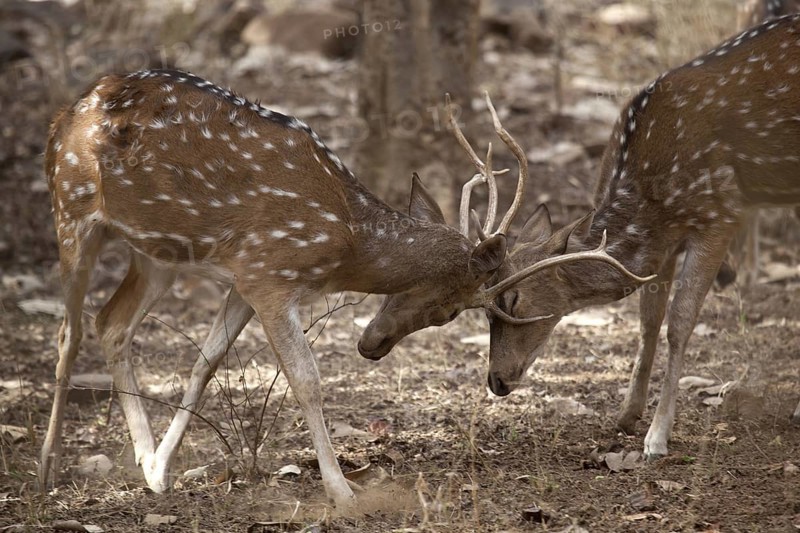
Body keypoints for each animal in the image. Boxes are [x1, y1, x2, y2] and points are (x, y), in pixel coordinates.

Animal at [39, 68, 515, 509]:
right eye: (450, 312)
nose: (372, 347)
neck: (347, 239)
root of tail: (63, 116)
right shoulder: (270, 274)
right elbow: (306, 380)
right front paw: (342, 492)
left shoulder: (245, 277)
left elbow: (205, 364)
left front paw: (160, 469)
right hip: (71, 209)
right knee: (69, 332)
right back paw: (48, 465)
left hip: (157, 253)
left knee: (111, 323)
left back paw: (143, 456)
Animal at [361, 14, 800, 459]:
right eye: (485, 314)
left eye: (512, 302)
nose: (496, 381)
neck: (654, 192)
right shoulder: (663, 241)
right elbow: (648, 320)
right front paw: (626, 415)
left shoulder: (721, 213)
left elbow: (678, 322)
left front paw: (657, 436)